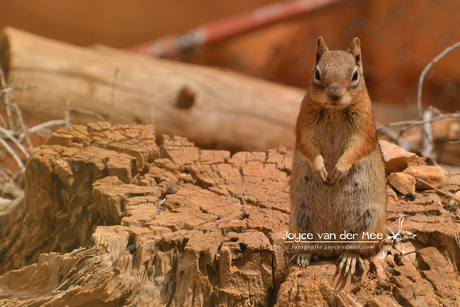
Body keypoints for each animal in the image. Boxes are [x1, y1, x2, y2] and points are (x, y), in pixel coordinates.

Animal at [290, 36, 386, 276]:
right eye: (317, 72)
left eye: (355, 75)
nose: (335, 94)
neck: (333, 110)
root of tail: (332, 248)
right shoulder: (304, 124)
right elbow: (307, 146)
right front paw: (321, 169)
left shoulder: (364, 127)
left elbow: (357, 148)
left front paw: (338, 170)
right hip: (298, 223)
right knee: (310, 248)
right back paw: (304, 256)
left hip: (371, 225)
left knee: (356, 249)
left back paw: (349, 258)